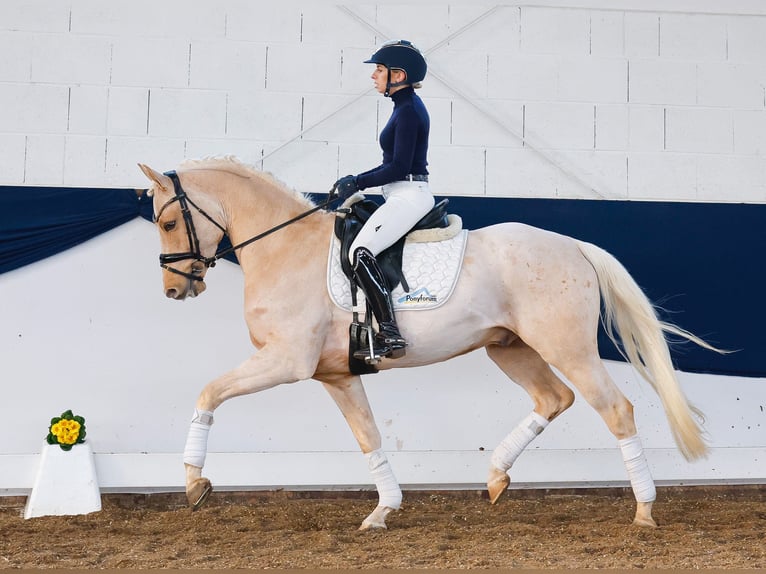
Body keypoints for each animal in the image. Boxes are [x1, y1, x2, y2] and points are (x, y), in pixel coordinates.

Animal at [140, 158, 720, 532]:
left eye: (167, 221)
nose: (174, 290)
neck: (285, 248)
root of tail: (573, 246)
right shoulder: (337, 375)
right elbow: (368, 437)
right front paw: (383, 511)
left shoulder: (286, 361)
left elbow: (209, 393)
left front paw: (194, 483)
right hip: (510, 348)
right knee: (554, 399)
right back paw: (496, 478)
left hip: (567, 348)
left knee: (616, 409)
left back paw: (644, 511)